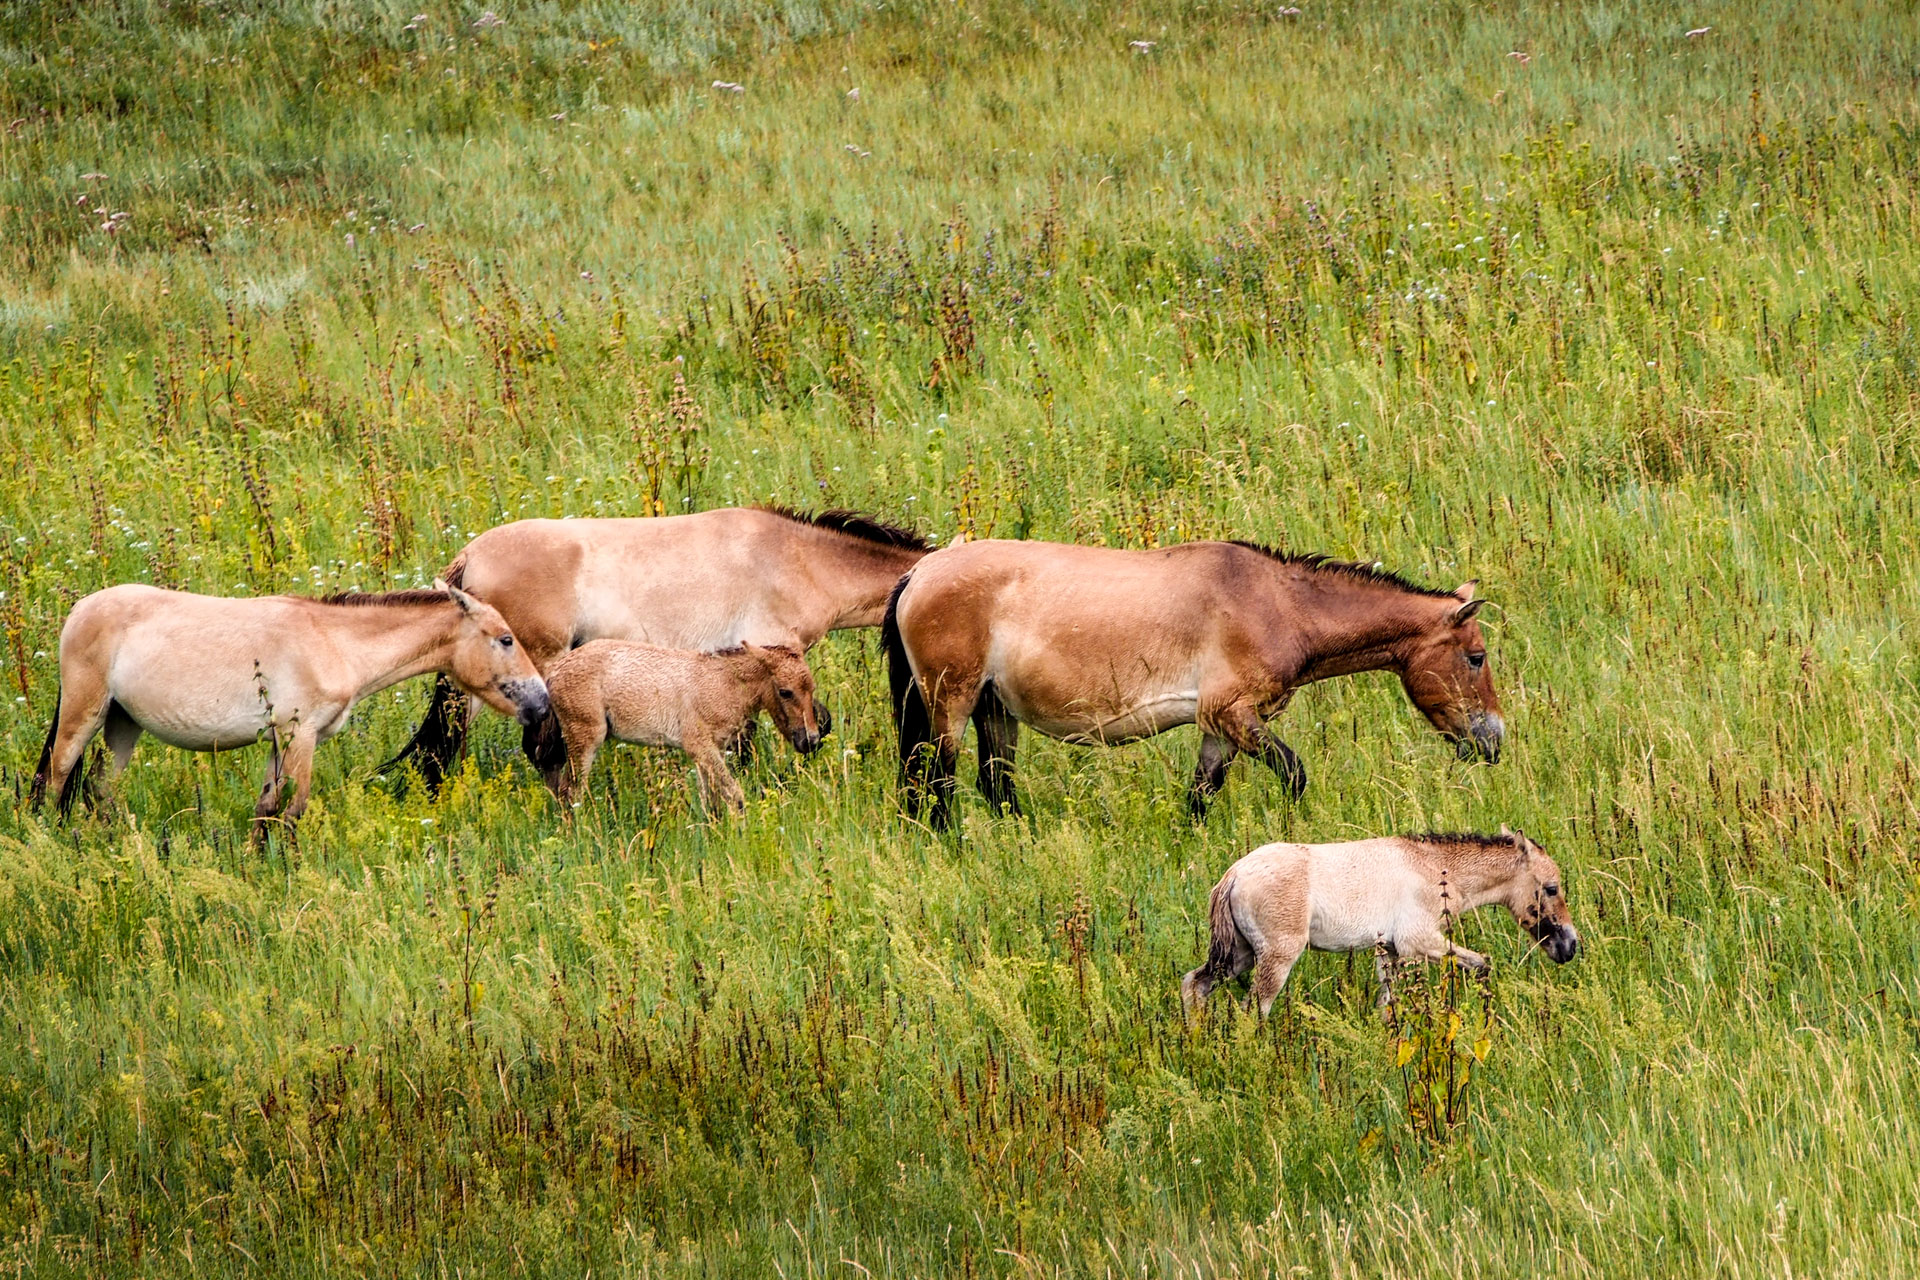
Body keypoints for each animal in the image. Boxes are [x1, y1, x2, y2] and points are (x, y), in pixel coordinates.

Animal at [30, 583, 549, 837]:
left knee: (99, 791)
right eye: (506, 639)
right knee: (53, 781)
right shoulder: (300, 737)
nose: (541, 703)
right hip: (84, 715)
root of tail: (78, 610)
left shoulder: (280, 742)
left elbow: (266, 810)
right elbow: (292, 810)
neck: (331, 641)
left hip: (123, 724)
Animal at [533, 640, 822, 813]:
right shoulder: (699, 746)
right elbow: (735, 795)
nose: (811, 740)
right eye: (785, 692)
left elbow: (711, 801)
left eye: (811, 688)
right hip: (584, 738)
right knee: (570, 793)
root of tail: (553, 673)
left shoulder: (710, 751)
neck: (724, 683)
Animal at [881, 540, 1503, 827]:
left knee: (994, 785)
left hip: (995, 708)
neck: (1277, 606)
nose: (1493, 742)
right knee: (936, 781)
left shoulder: (1221, 728)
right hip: (951, 703)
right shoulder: (1234, 713)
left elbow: (1200, 796)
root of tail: (919, 572)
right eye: (1476, 658)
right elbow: (1295, 774)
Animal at [1181, 827, 1579, 1017]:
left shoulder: (1389, 951)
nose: (1570, 945)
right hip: (1275, 958)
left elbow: (1388, 1006)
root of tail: (1232, 875)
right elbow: (1482, 964)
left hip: (1239, 955)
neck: (1435, 869)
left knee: (1193, 985)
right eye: (1552, 888)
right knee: (1253, 1010)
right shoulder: (1419, 943)